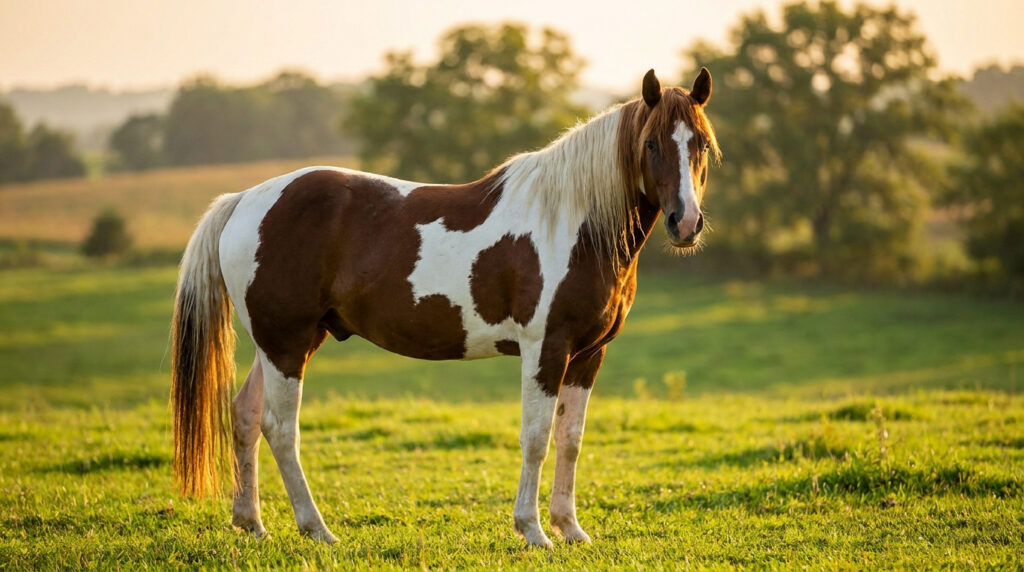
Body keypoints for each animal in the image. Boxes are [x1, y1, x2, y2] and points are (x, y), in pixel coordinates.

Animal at [171, 68, 719, 548]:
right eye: (651, 144)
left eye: (700, 143)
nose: (685, 222)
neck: (573, 223)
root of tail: (245, 199)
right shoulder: (544, 349)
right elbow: (536, 437)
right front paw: (533, 531)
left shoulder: (587, 355)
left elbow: (570, 438)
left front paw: (570, 529)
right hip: (286, 343)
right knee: (280, 428)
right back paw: (316, 529)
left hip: (286, 343)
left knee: (244, 414)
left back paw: (251, 523)